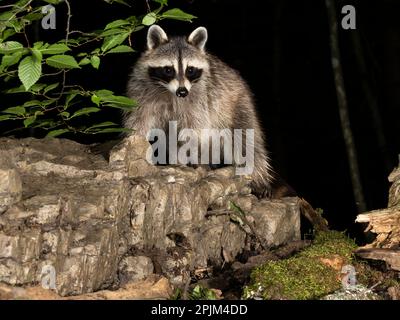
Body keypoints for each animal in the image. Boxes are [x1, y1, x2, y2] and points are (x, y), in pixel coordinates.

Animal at [124, 25, 272, 196]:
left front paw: (182, 157)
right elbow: (139, 122)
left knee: (246, 140)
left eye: (190, 70)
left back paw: (257, 176)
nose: (182, 92)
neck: (169, 91)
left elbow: (193, 129)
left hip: (238, 106)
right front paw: (135, 147)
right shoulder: (140, 92)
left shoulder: (201, 99)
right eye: (168, 70)